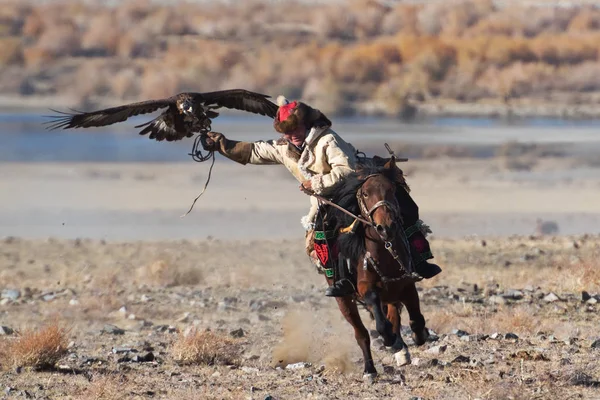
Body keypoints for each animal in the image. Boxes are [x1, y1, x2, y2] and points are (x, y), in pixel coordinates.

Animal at [316, 157, 428, 382]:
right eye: (365, 193)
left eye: (392, 190)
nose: (386, 227)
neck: (384, 253)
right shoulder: (365, 288)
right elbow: (380, 320)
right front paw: (388, 338)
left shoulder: (407, 285)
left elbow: (415, 319)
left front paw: (416, 337)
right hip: (345, 302)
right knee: (361, 334)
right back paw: (370, 369)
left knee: (395, 316)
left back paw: (401, 350)